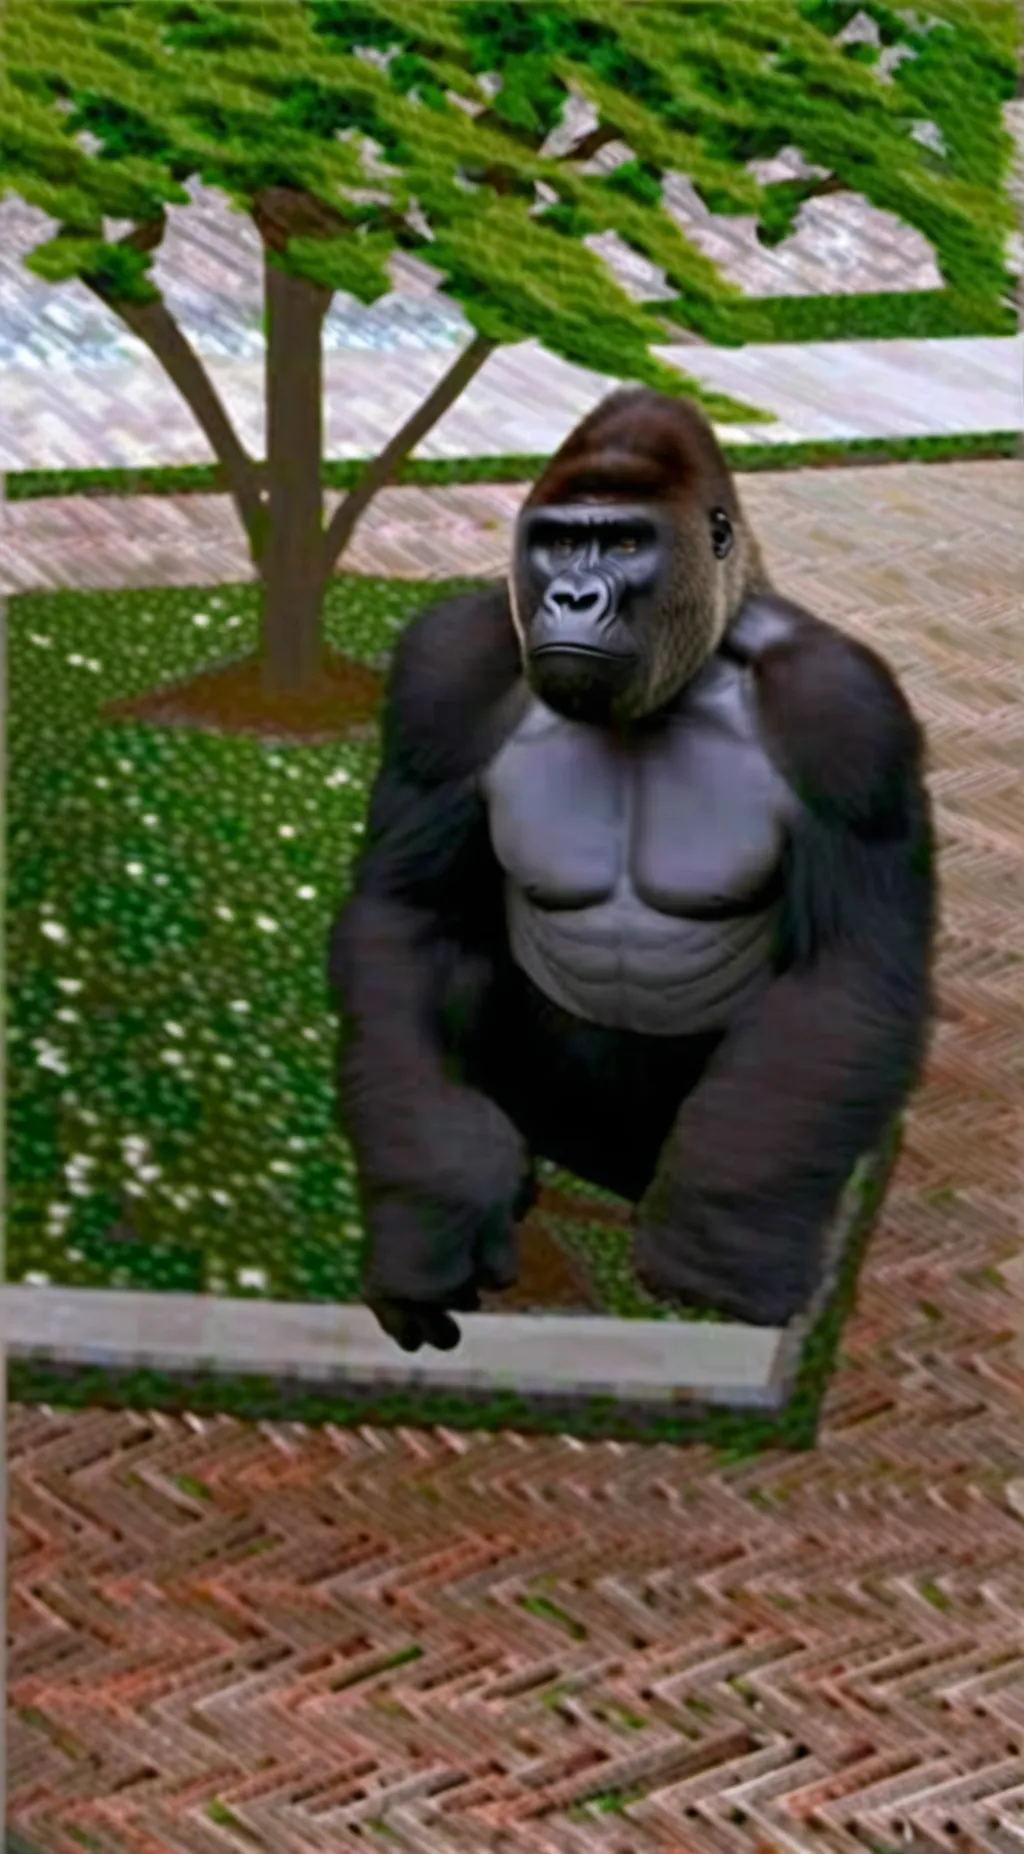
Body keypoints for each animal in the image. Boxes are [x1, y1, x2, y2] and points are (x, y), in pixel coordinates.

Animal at [329, 388, 936, 1354]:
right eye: (557, 543)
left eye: (622, 544)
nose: (572, 596)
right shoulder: (448, 671)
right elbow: (411, 917)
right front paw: (431, 1216)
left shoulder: (846, 714)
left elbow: (844, 971)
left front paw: (720, 1255)